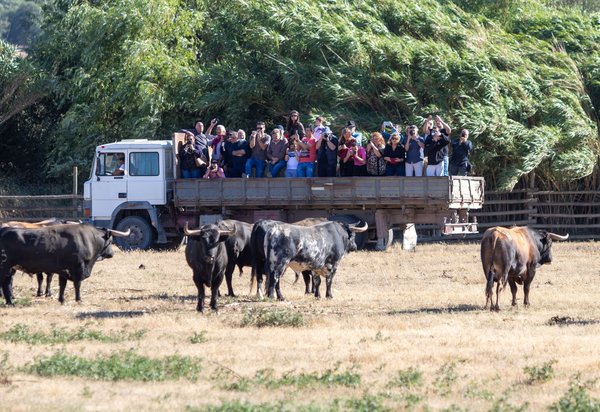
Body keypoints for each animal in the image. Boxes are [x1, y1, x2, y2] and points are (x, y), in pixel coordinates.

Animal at [0, 224, 130, 304]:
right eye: (111, 241)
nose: (112, 254)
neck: (88, 238)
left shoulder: (63, 270)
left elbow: (62, 285)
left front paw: (61, 299)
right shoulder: (78, 267)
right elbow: (77, 284)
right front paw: (78, 299)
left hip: (10, 269)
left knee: (6, 284)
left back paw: (10, 301)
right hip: (5, 267)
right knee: (5, 284)